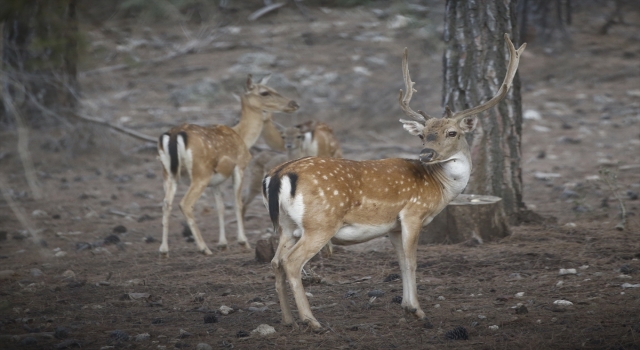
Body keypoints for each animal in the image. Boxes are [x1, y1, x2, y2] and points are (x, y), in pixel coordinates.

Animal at [160, 74, 300, 254]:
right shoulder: (239, 167)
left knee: (166, 203)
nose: (294, 104)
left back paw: (164, 250)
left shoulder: (216, 180)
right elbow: (237, 203)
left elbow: (220, 207)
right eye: (264, 92)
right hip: (200, 173)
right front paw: (242, 241)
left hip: (168, 173)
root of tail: (174, 135)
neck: (243, 137)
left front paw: (223, 243)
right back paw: (204, 248)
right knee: (185, 203)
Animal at [262, 34, 524, 330]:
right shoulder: (413, 213)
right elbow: (412, 262)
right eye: (422, 135)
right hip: (320, 222)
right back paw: (312, 321)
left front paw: (407, 307)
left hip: (286, 225)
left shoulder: (393, 226)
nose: (426, 154)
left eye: (452, 132)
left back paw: (287, 320)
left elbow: (400, 263)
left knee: (275, 261)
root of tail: (278, 174)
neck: (440, 187)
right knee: (292, 262)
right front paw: (418, 311)